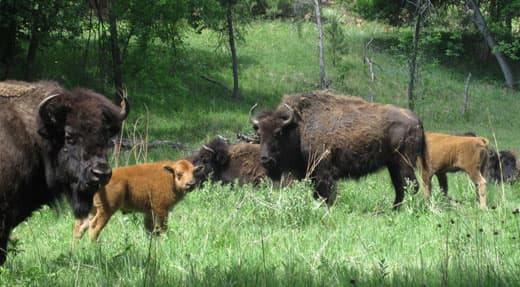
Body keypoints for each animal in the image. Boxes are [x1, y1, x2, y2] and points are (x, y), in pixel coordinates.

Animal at [73, 160, 203, 243]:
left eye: (194, 173)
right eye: (179, 174)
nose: (191, 184)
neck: (169, 177)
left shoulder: (149, 212)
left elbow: (150, 229)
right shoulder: (161, 209)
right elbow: (162, 227)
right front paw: (165, 239)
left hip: (92, 209)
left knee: (80, 227)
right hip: (105, 211)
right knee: (94, 227)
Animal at [249, 91, 426, 207]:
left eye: (278, 133)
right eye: (259, 133)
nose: (265, 159)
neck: (298, 127)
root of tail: (416, 119)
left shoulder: (323, 171)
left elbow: (324, 193)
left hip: (405, 163)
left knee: (411, 185)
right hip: (393, 165)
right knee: (400, 186)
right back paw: (394, 209)